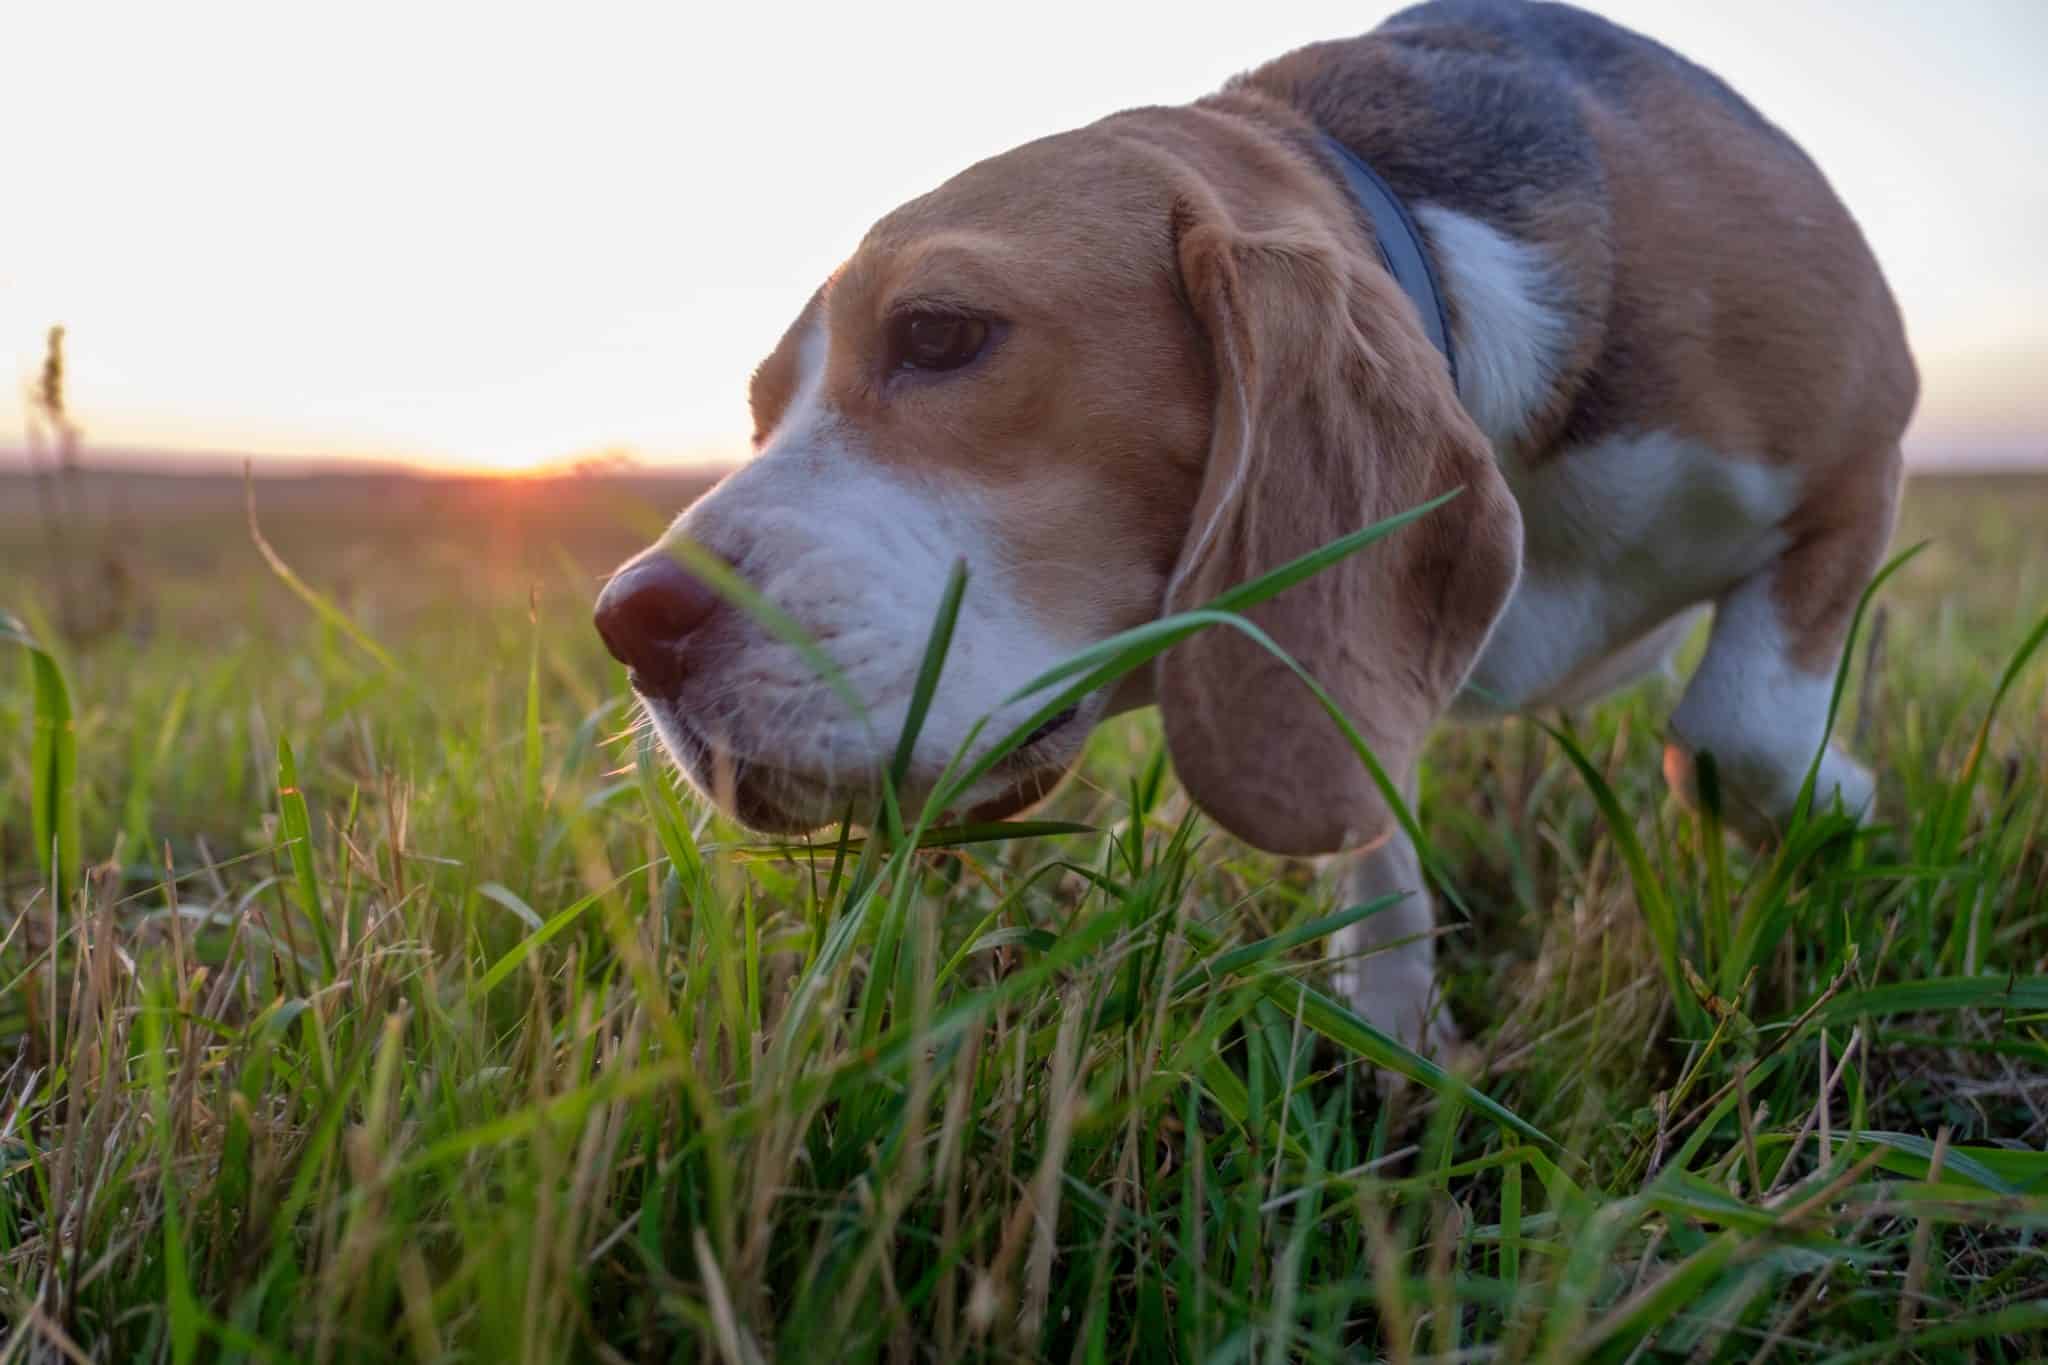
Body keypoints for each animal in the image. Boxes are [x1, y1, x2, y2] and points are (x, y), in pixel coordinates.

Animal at [598, 0, 1916, 1055]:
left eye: (937, 333)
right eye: (761, 413)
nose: (629, 625)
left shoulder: (1861, 451)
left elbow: (1734, 730)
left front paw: (1841, 808)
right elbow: (1370, 824)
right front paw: (1396, 1036)